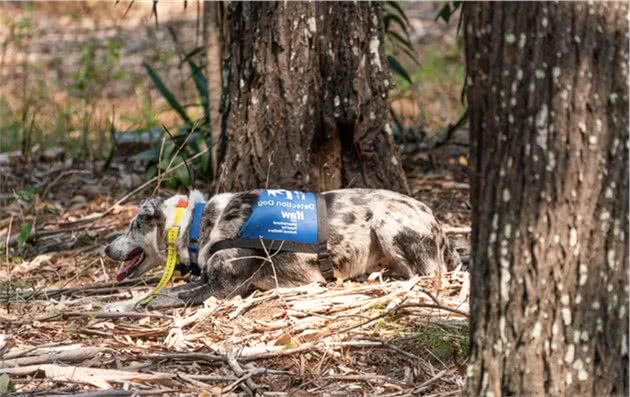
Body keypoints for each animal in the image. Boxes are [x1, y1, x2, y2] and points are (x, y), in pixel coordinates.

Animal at [102, 187, 460, 308]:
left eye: (133, 225)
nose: (105, 249)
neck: (197, 224)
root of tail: (440, 226)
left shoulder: (222, 287)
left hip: (386, 224)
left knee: (424, 273)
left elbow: (160, 296)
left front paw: (118, 305)